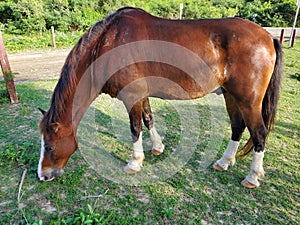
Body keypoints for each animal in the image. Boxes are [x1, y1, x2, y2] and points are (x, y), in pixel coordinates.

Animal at [37, 6, 282, 188]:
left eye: (49, 147)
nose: (42, 175)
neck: (108, 43)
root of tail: (268, 37)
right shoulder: (141, 95)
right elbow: (148, 119)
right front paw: (157, 148)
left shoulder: (132, 96)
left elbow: (135, 128)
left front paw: (134, 163)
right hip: (231, 96)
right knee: (237, 127)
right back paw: (224, 162)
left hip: (248, 101)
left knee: (259, 133)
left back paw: (252, 177)